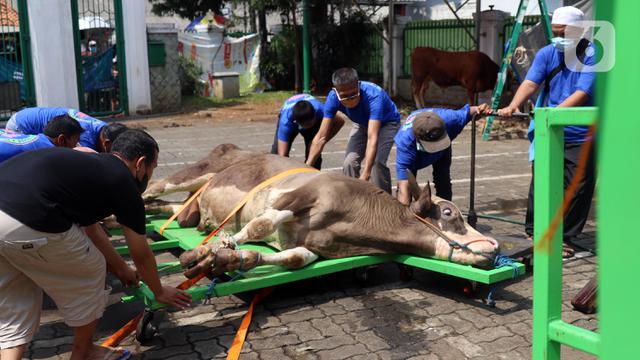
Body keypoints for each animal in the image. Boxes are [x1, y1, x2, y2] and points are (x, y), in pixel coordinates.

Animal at [145, 144, 500, 278]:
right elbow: (261, 225)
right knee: (152, 188)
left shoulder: (316, 248)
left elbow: (292, 258)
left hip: (192, 204)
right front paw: (211, 251)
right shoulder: (301, 196)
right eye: (449, 213)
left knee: (175, 210)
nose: (495, 247)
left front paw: (232, 257)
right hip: (196, 173)